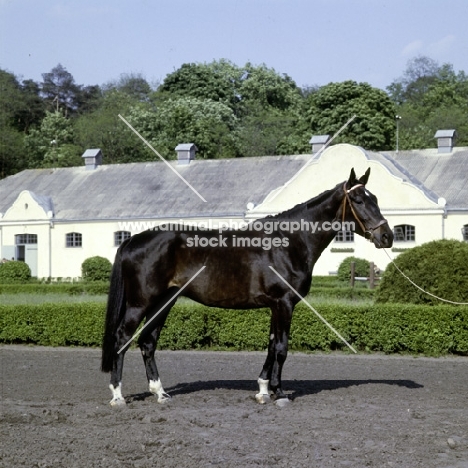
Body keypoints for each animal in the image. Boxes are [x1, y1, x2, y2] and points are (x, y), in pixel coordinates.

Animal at [100, 168, 394, 406]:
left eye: (377, 199)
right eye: (358, 200)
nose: (387, 236)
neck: (290, 241)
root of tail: (133, 239)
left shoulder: (276, 306)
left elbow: (272, 345)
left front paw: (263, 390)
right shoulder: (284, 303)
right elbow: (281, 348)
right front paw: (279, 393)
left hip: (164, 301)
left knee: (148, 341)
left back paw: (160, 393)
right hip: (140, 303)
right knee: (122, 338)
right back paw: (117, 396)